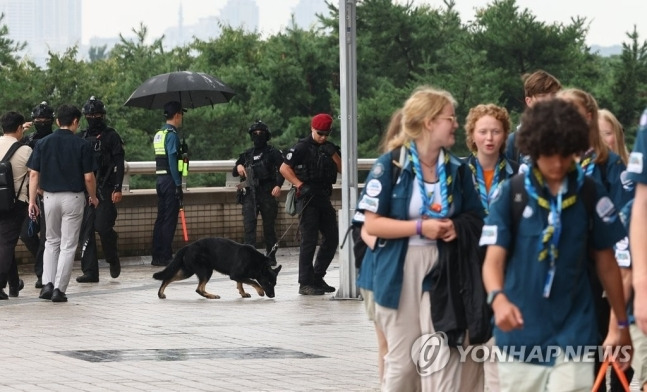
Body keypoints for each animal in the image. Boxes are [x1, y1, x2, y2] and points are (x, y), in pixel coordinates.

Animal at [154, 237, 284, 298]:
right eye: (268, 283)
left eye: (275, 284)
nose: (273, 296)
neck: (257, 262)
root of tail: (188, 247)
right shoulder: (236, 275)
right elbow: (253, 281)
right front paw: (260, 291)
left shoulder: (238, 276)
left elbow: (241, 283)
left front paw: (242, 293)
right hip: (206, 271)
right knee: (199, 289)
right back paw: (211, 296)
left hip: (187, 271)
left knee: (167, 279)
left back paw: (160, 294)